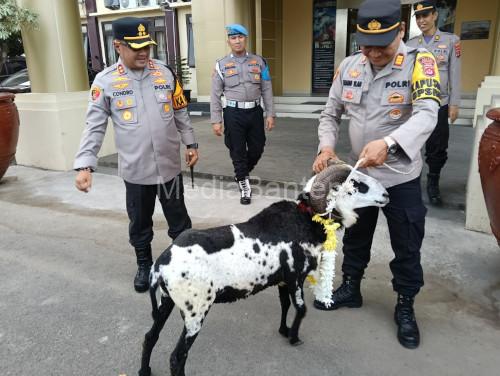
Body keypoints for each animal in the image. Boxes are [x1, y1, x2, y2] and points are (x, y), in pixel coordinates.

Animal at [138, 160, 390, 374]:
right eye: (356, 184)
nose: (386, 194)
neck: (306, 220)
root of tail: (159, 267)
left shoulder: (282, 280)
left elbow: (285, 305)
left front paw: (284, 331)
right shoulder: (296, 278)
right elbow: (301, 309)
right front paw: (294, 338)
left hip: (166, 301)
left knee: (150, 336)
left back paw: (144, 370)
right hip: (195, 310)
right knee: (177, 356)